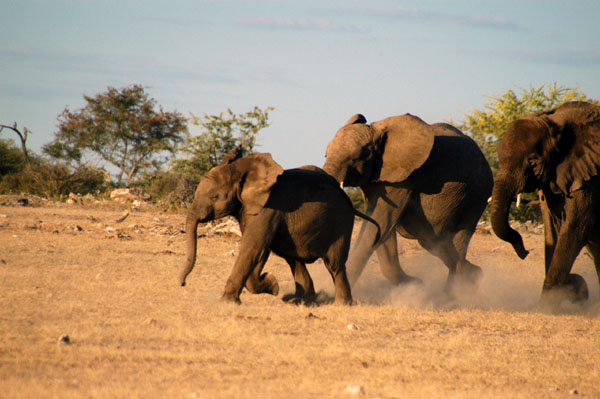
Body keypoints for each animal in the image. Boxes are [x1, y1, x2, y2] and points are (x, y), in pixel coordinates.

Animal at [178, 152, 380, 304]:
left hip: (341, 223)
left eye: (214, 197)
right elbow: (260, 249)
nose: (183, 284)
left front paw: (228, 302)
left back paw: (340, 304)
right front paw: (272, 285)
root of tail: (349, 201)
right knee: (293, 258)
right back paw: (301, 300)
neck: (242, 169)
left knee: (334, 264)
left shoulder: (269, 208)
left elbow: (254, 247)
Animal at [324, 112, 492, 294]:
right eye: (325, 154)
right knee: (433, 240)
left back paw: (455, 292)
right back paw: (470, 278)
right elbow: (380, 227)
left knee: (444, 237)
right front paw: (415, 283)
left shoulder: (403, 177)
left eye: (358, 158)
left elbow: (381, 221)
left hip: (476, 194)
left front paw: (327, 294)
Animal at [490, 101, 600, 306]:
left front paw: (547, 305)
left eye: (533, 162)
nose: (525, 251)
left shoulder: (590, 175)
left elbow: (576, 226)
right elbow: (553, 227)